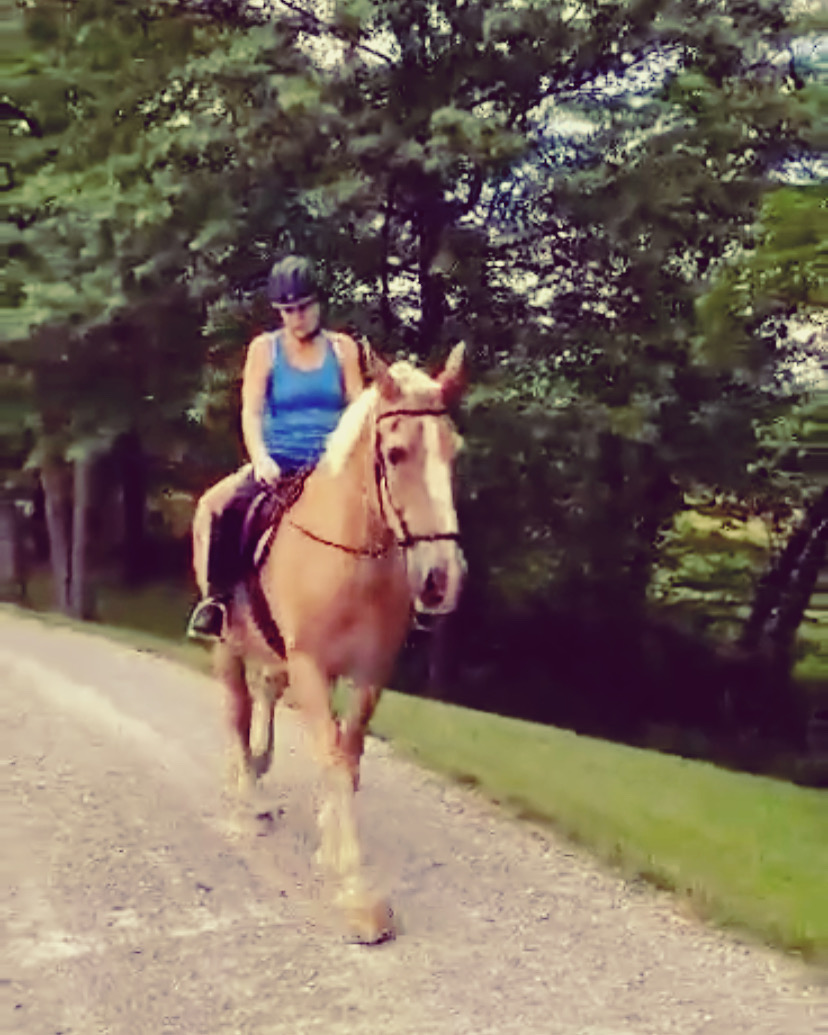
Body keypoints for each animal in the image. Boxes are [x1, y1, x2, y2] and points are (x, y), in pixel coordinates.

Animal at [210, 343, 467, 942]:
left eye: (455, 452)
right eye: (395, 453)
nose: (441, 579)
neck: (353, 560)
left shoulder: (371, 675)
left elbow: (347, 758)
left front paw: (332, 849)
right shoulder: (310, 666)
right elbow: (329, 756)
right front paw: (357, 894)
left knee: (263, 698)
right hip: (228, 644)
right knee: (237, 711)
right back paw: (248, 797)